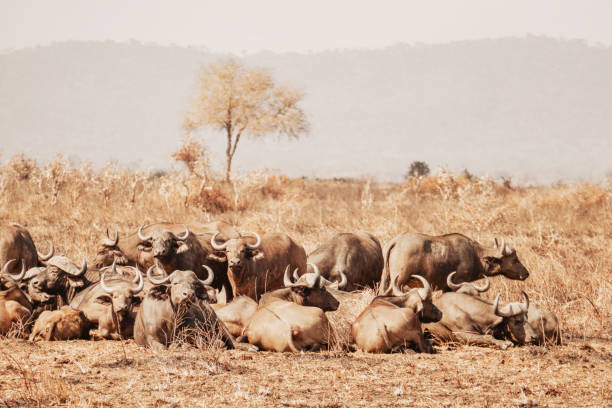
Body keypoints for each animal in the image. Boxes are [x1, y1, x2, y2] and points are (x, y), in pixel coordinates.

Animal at [380, 233, 528, 294]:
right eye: (515, 260)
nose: (526, 273)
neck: (475, 254)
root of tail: (397, 240)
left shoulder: (446, 287)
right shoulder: (457, 283)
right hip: (398, 282)